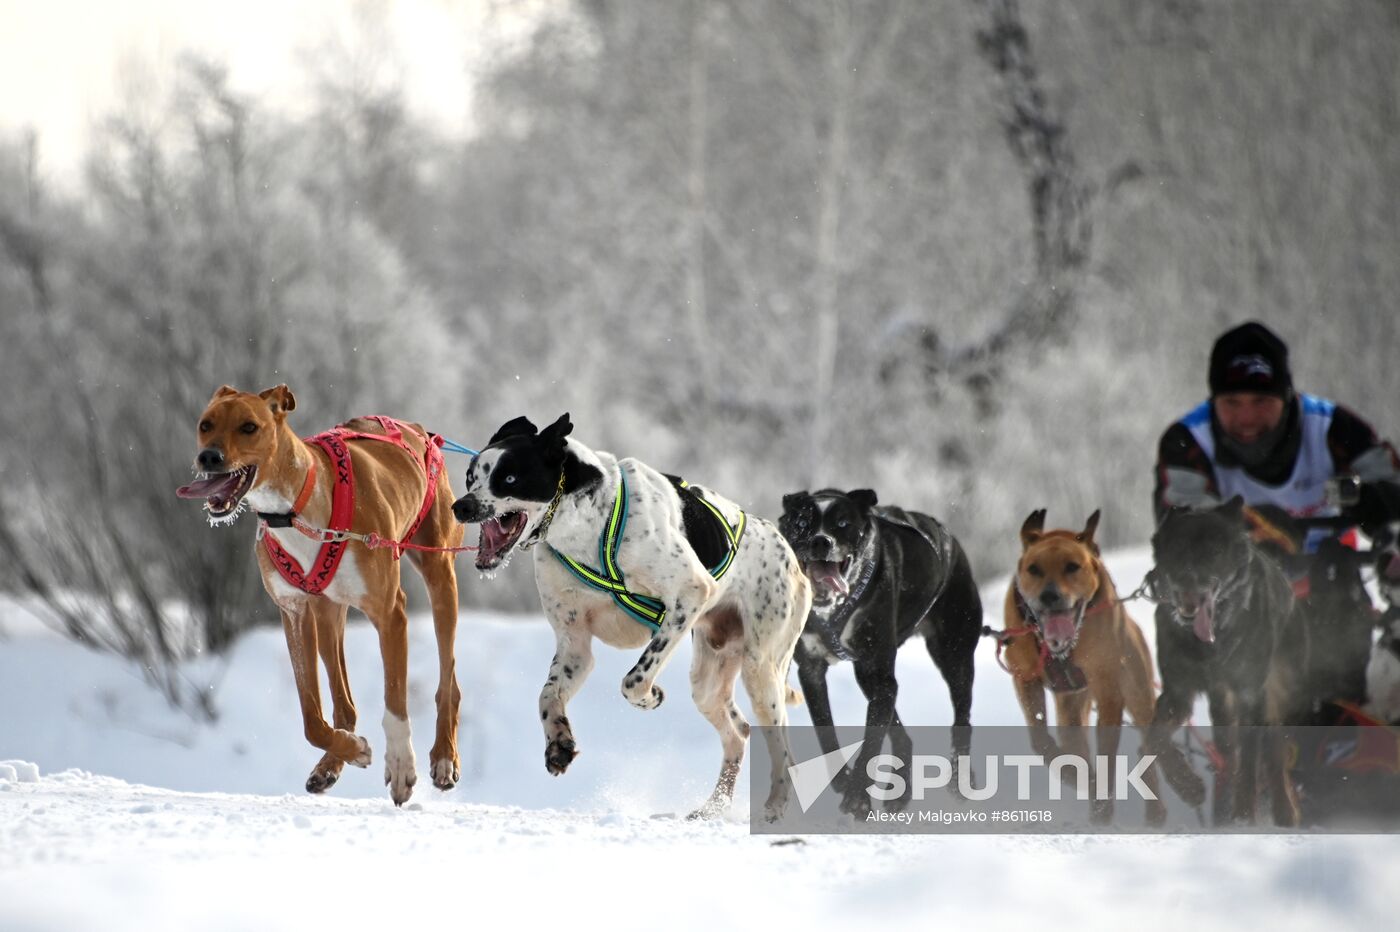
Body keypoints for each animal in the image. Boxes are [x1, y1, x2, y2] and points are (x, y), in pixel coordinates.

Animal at [177, 380, 464, 800]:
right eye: (205, 424)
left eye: (249, 427)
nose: (208, 457)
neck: (297, 509)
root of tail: (417, 429)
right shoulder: (294, 612)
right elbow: (312, 717)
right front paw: (353, 749)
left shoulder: (390, 613)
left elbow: (395, 703)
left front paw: (400, 764)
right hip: (329, 614)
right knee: (345, 706)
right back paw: (334, 760)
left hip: (440, 575)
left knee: (448, 684)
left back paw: (443, 756)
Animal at [450, 414, 812, 811]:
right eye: (470, 477)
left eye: (510, 478)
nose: (462, 506)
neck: (587, 526)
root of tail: (789, 554)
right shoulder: (574, 646)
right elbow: (547, 697)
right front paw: (558, 743)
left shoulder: (690, 594)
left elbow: (634, 680)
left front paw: (650, 697)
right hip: (708, 681)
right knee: (739, 731)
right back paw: (712, 809)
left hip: (760, 670)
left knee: (783, 750)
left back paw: (776, 804)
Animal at [778, 486, 985, 806]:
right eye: (802, 522)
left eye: (842, 524)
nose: (821, 541)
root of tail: (950, 539)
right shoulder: (812, 670)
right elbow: (827, 736)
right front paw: (844, 781)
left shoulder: (879, 672)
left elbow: (872, 739)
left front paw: (857, 795)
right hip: (868, 675)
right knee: (900, 732)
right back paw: (901, 789)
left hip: (953, 654)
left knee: (961, 719)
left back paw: (958, 780)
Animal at [1002, 509, 1164, 822]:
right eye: (1034, 569)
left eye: (1072, 567)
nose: (1049, 595)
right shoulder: (1024, 678)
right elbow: (1042, 741)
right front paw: (1079, 778)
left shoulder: (1108, 687)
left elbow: (1107, 756)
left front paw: (1102, 802)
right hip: (1071, 712)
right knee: (1073, 741)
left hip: (1138, 693)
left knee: (1151, 749)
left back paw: (1163, 805)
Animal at [1142, 498, 1304, 822]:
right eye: (1177, 548)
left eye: (1215, 551)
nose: (1190, 584)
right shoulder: (1177, 693)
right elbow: (1154, 741)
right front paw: (1187, 785)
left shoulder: (1250, 694)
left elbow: (1253, 761)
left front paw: (1244, 815)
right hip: (1224, 709)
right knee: (1229, 754)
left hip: (1278, 696)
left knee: (1274, 753)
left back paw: (1282, 811)